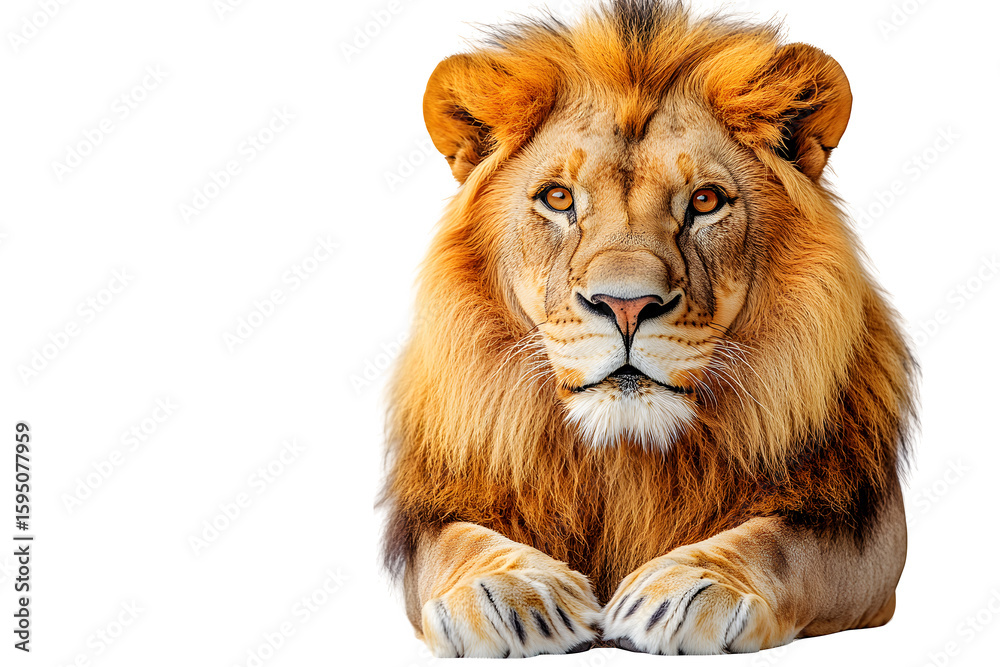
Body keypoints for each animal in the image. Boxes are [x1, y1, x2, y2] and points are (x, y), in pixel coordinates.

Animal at [379, 0, 916, 657]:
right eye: (558, 198)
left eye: (705, 201)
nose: (626, 305)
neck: (628, 453)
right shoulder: (430, 515)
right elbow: (462, 541)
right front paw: (511, 592)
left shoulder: (864, 527)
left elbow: (780, 543)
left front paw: (688, 589)